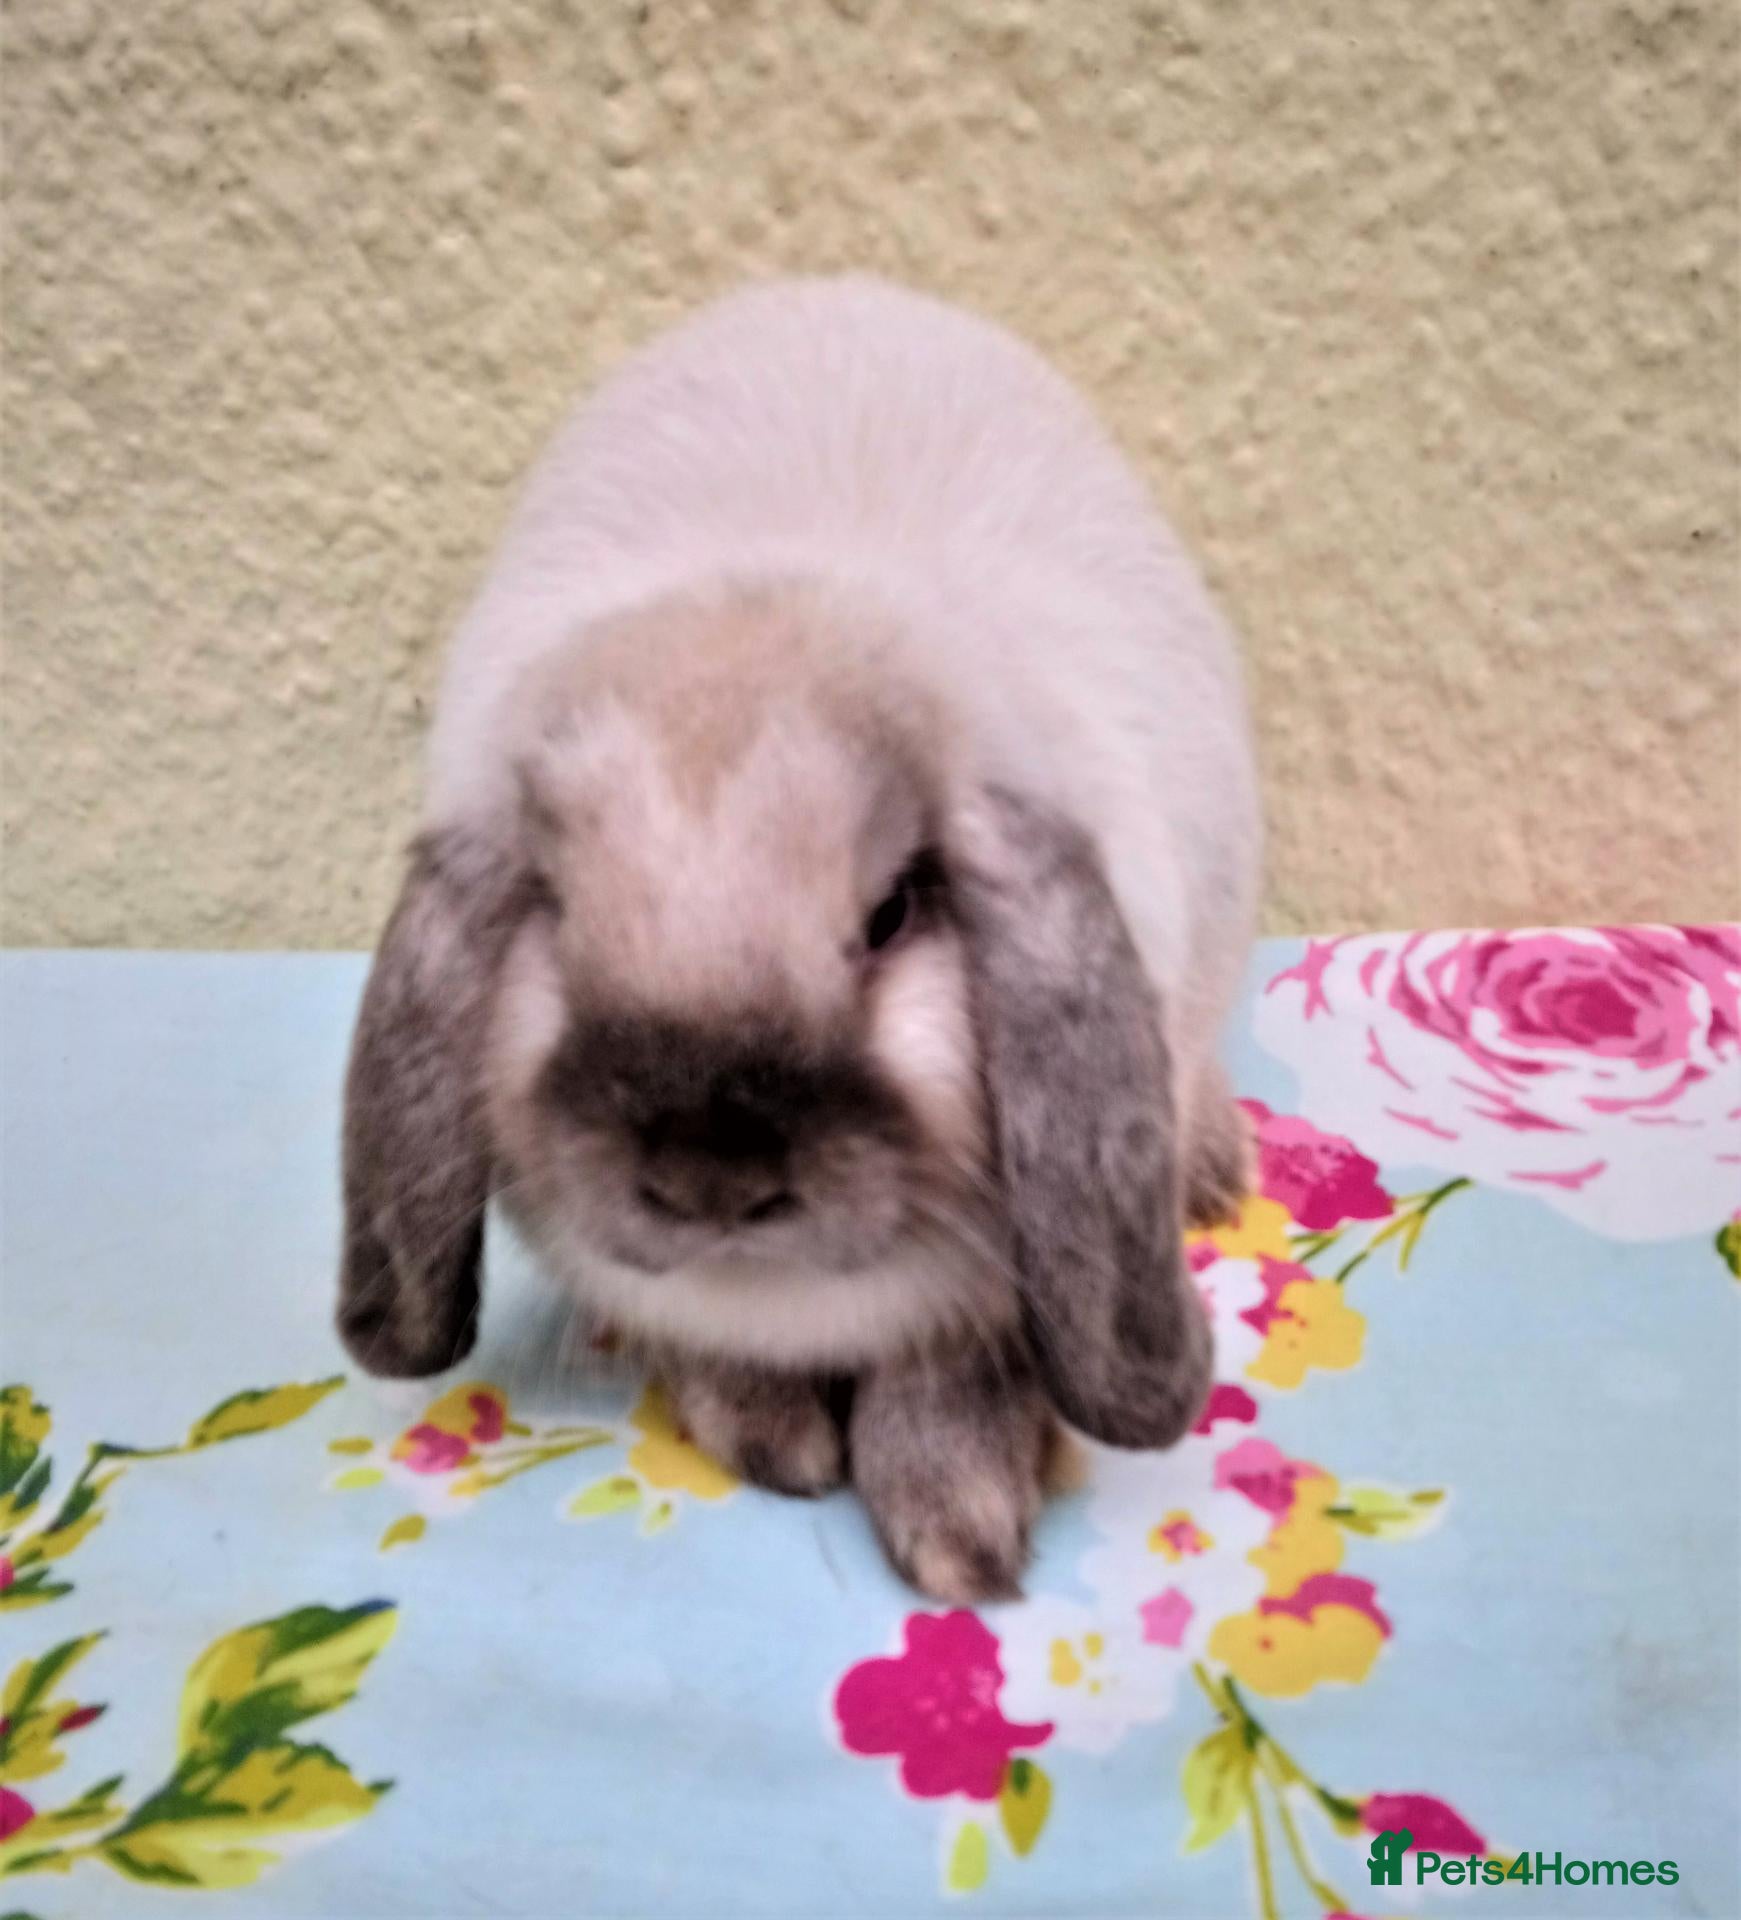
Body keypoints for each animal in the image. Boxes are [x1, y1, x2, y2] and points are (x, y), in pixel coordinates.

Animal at [337, 275, 1261, 1603]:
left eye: (890, 917)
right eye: (553, 913)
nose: (708, 1177)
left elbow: (953, 1376)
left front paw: (957, 1530)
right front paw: (772, 1440)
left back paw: (1213, 1171)